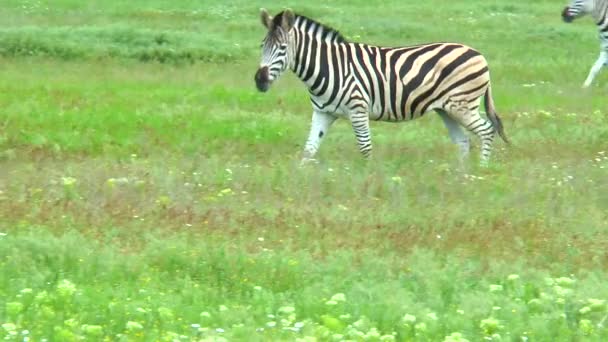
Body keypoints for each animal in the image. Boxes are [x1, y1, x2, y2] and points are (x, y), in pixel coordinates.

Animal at [254, 8, 510, 166]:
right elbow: (309, 150)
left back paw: (479, 174)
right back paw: (461, 178)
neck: (327, 67)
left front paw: (369, 182)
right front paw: (300, 181)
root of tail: (478, 54)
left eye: (283, 48)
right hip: (446, 109)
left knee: (487, 131)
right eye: (261, 46)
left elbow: (365, 147)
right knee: (463, 141)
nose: (259, 80)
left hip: (461, 105)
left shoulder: (358, 109)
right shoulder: (323, 112)